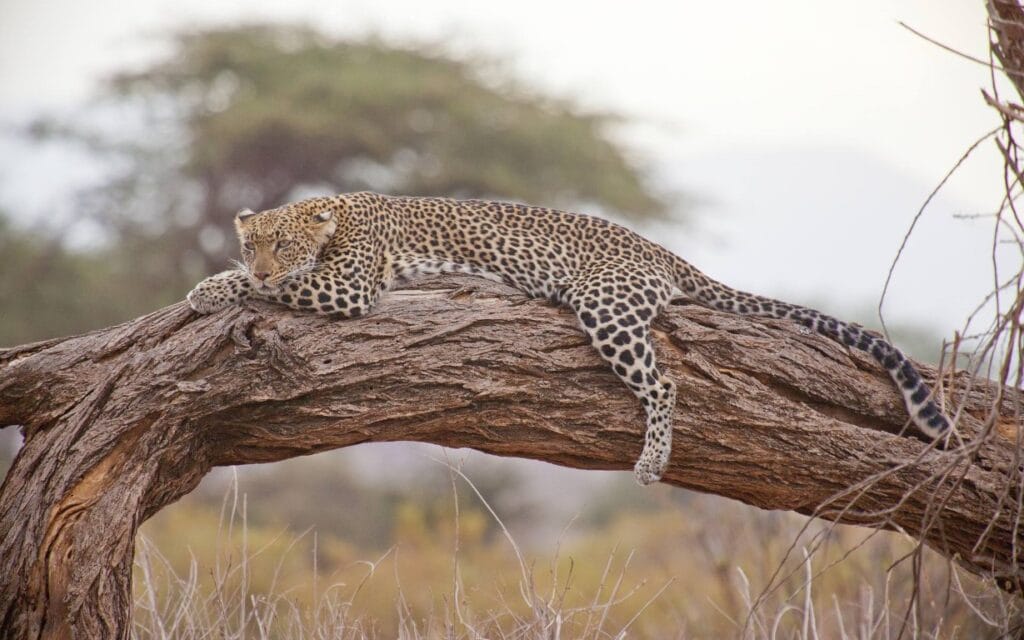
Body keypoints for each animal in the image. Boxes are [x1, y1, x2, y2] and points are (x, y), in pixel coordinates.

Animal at [186, 190, 950, 483]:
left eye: (283, 246)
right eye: (255, 242)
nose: (260, 259)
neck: (334, 214)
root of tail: (661, 251)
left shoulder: (349, 285)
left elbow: (273, 290)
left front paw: (213, 288)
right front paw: (213, 281)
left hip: (604, 304)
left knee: (663, 382)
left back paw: (651, 461)